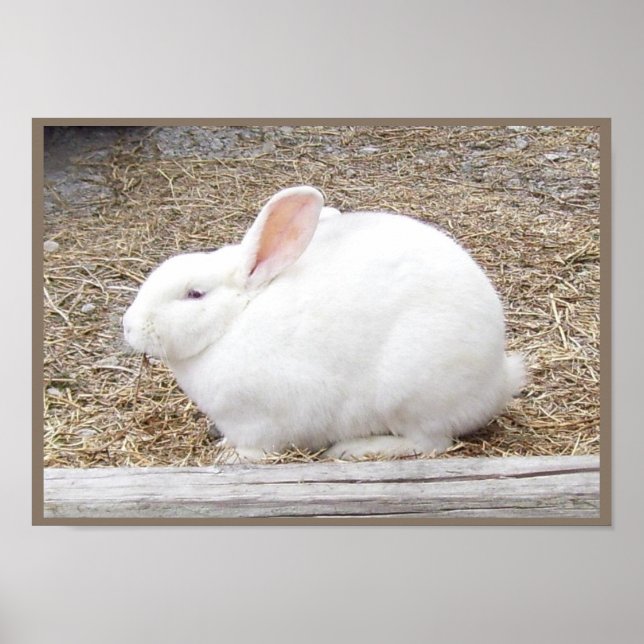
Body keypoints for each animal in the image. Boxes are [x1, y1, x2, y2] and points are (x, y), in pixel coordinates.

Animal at [123, 185, 525, 461]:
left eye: (194, 294)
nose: (129, 326)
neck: (234, 320)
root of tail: (499, 378)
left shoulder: (263, 421)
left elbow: (258, 448)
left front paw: (229, 455)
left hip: (409, 393)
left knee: (429, 443)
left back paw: (354, 449)